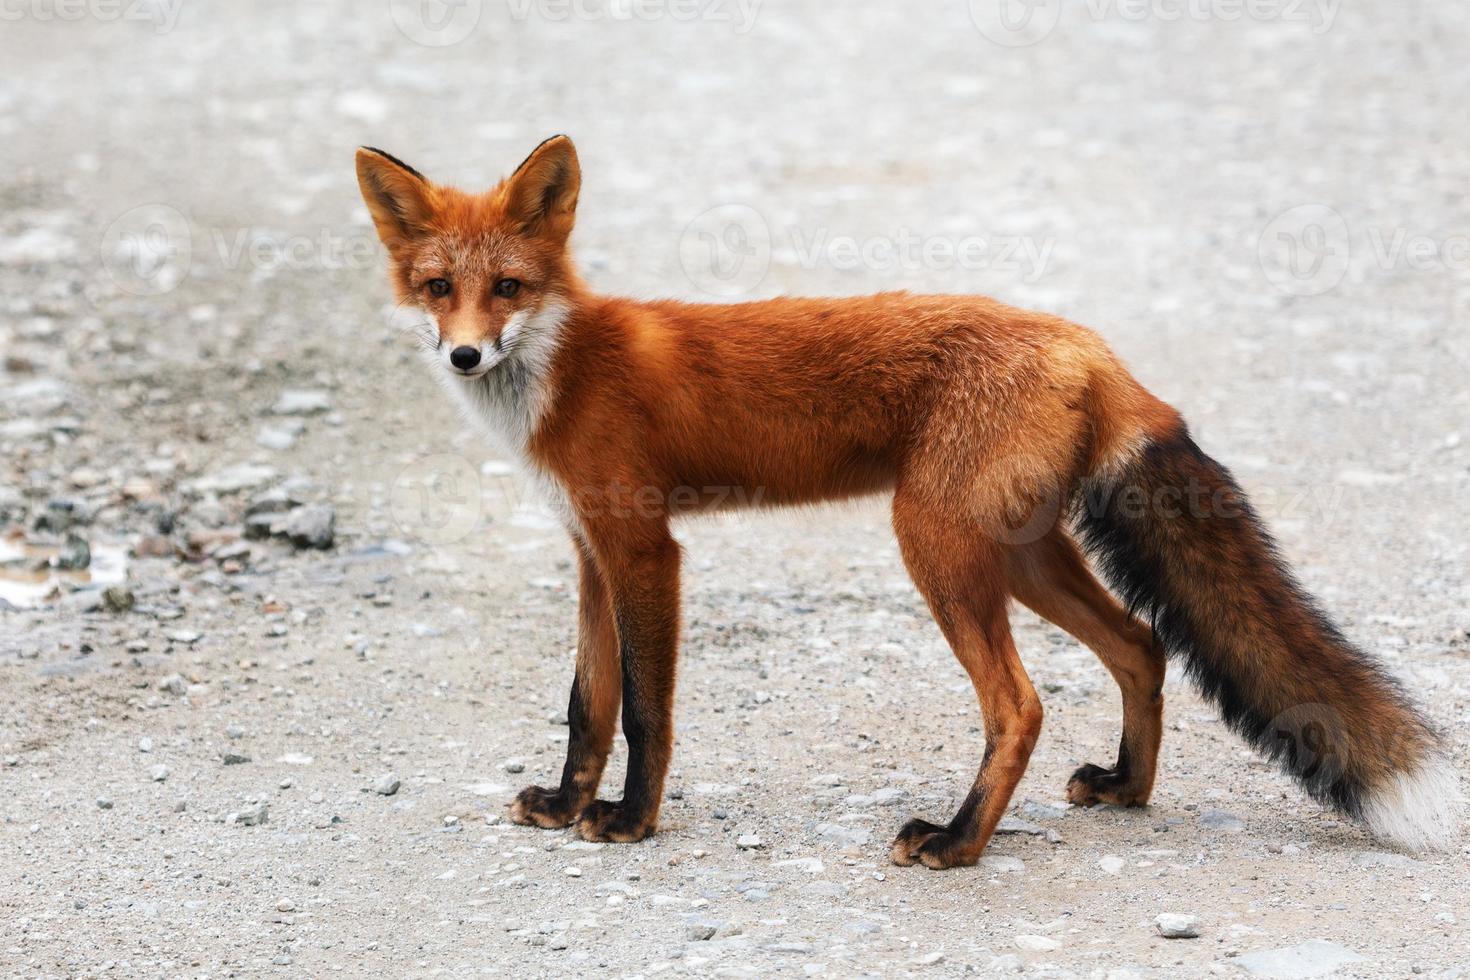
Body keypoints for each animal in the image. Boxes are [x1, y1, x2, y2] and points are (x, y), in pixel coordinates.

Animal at [358, 135, 1458, 863]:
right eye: (436, 287)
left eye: (506, 287)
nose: (463, 354)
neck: (566, 369)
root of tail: (1087, 344)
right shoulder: (590, 549)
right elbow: (584, 706)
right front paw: (564, 802)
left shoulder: (645, 549)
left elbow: (642, 710)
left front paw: (631, 822)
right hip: (1018, 553)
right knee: (1143, 643)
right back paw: (1126, 790)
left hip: (935, 544)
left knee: (1021, 702)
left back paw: (959, 839)